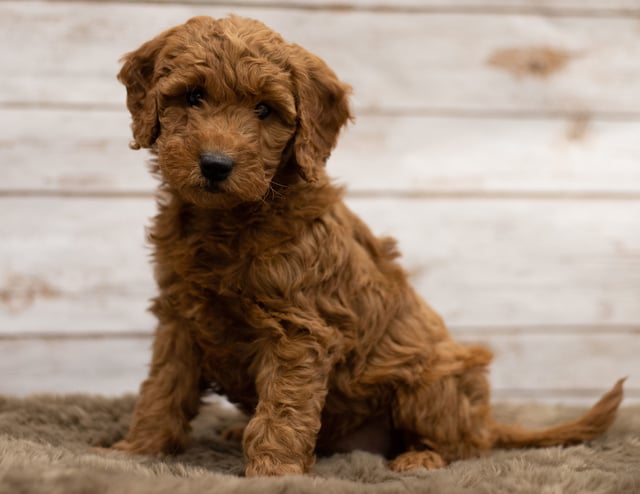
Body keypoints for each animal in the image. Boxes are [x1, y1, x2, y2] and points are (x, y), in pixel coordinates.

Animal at [112, 15, 624, 476]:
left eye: (263, 110)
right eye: (193, 96)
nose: (216, 165)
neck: (229, 219)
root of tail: (487, 419)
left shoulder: (298, 331)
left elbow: (282, 410)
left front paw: (274, 472)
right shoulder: (180, 318)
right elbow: (162, 389)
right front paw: (138, 452)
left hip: (432, 382)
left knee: (468, 446)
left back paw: (420, 458)